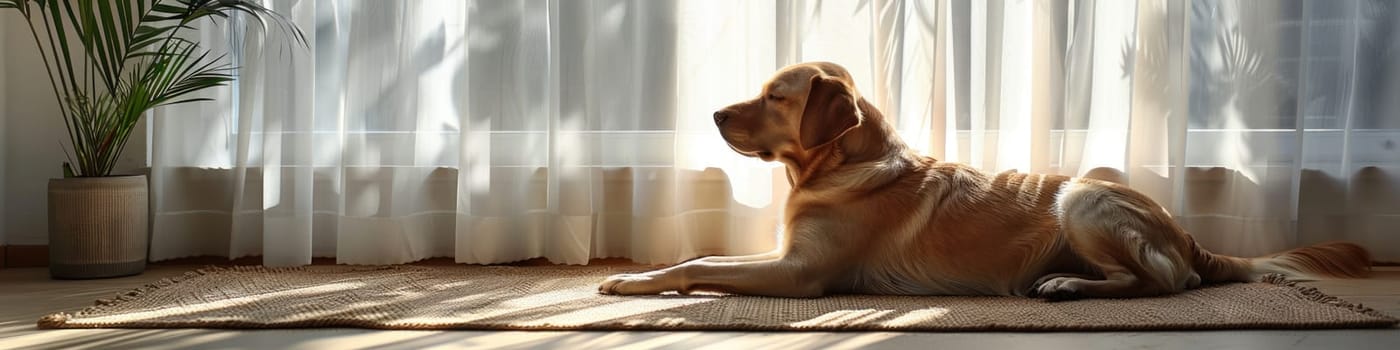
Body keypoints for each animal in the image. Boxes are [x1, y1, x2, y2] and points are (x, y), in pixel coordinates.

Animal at [593, 61, 1366, 299]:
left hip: (1080, 195)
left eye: (775, 97)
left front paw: (632, 282)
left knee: (1165, 282)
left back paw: (1068, 285)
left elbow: (696, 266)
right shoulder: (784, 255)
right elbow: (701, 255)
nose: (715, 114)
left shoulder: (802, 272)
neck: (841, 167)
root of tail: (1186, 233)